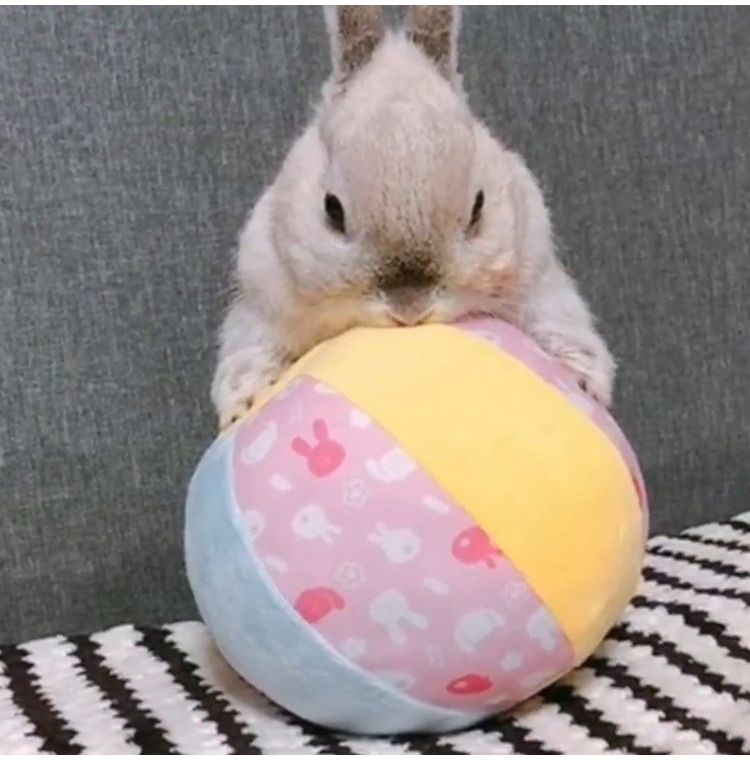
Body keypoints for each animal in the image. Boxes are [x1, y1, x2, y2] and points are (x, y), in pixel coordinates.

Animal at [212, 6, 616, 429]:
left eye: (478, 207)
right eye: (332, 210)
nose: (409, 309)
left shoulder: (542, 287)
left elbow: (564, 331)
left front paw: (584, 383)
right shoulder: (261, 307)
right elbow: (250, 356)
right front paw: (242, 405)